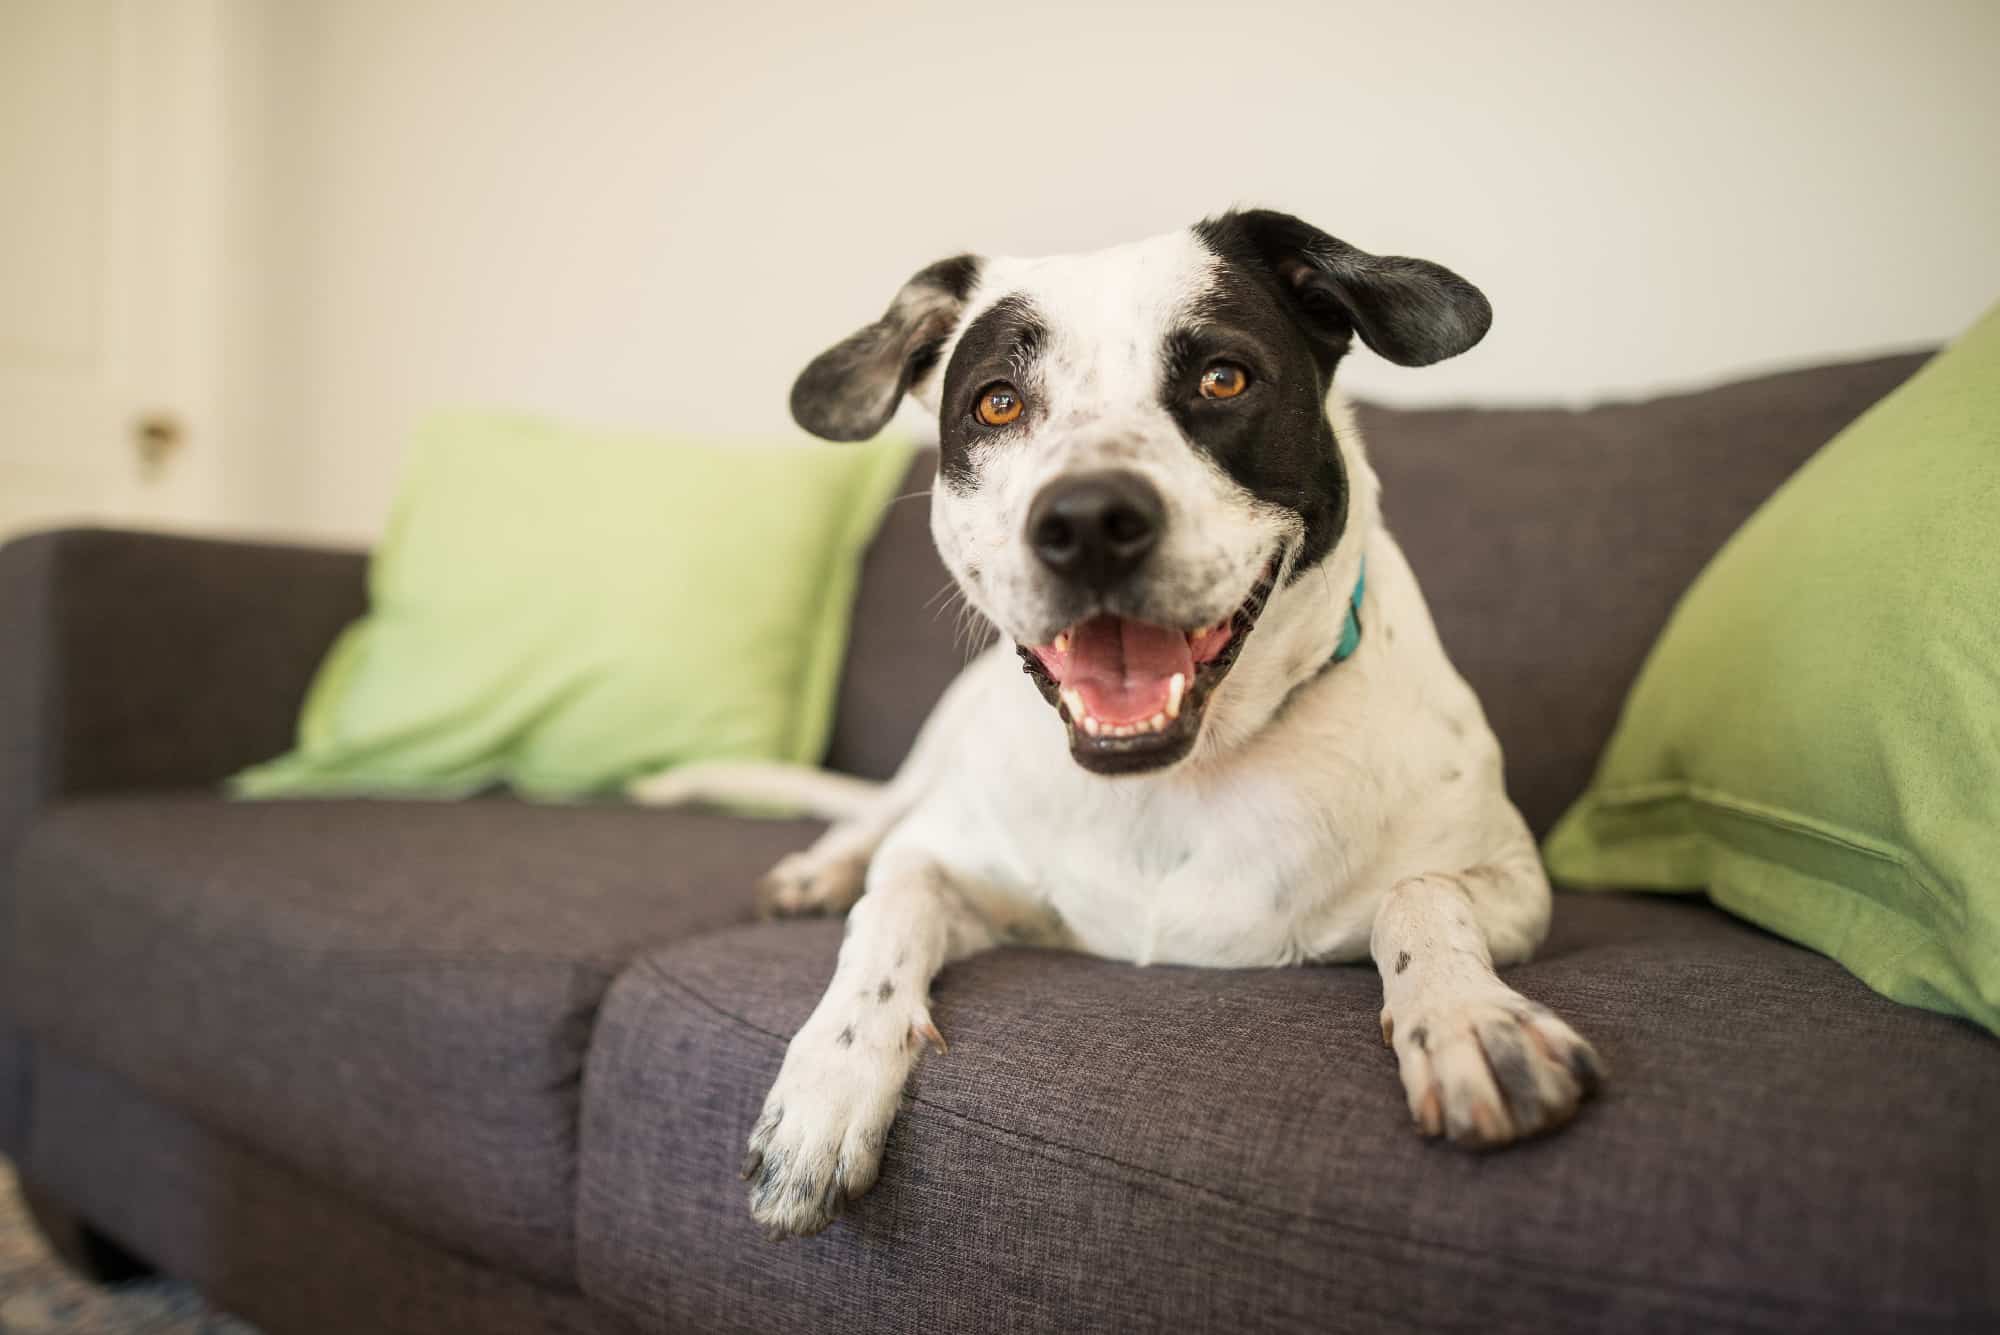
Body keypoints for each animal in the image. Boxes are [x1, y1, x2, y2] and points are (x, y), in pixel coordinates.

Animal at [640, 208, 1608, 1239]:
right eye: (996, 403)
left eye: (1223, 378)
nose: (1088, 521)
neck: (1174, 777)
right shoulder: (963, 867)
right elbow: (890, 906)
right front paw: (827, 1082)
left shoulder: (1516, 884)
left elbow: (1420, 893)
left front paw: (1471, 1020)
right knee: (875, 819)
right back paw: (819, 869)